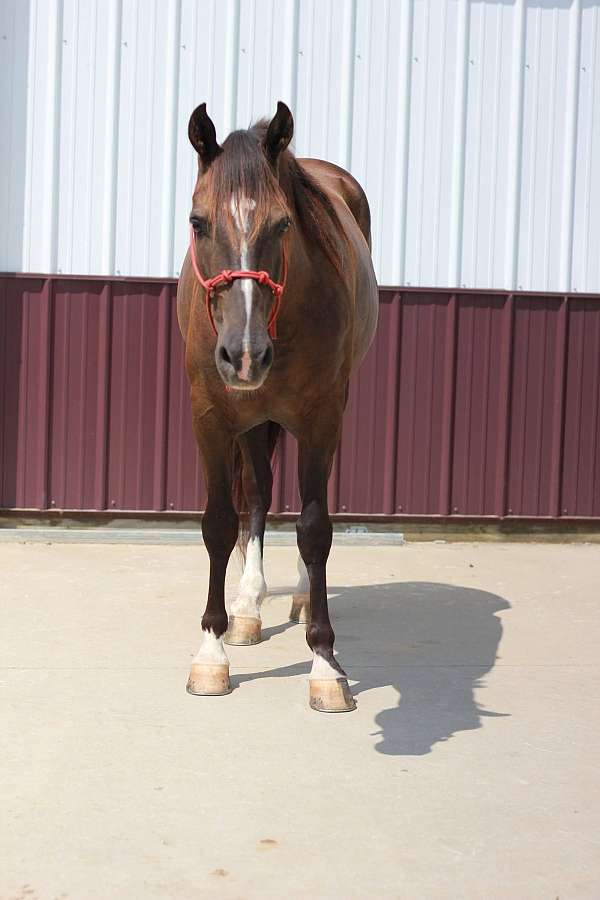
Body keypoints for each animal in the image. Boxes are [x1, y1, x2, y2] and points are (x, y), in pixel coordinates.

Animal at [177, 101, 378, 712]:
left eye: (283, 225)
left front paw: (325, 663)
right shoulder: (212, 416)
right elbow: (221, 523)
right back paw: (247, 606)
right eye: (198, 222)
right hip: (250, 419)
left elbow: (315, 527)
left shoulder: (321, 417)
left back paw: (303, 598)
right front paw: (211, 652)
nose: (244, 355)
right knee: (260, 495)